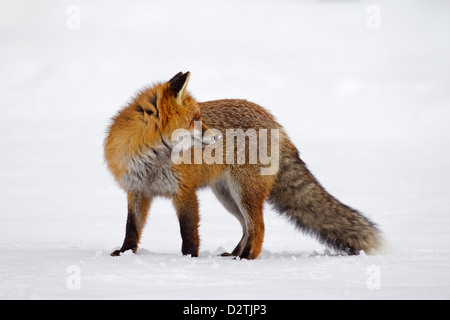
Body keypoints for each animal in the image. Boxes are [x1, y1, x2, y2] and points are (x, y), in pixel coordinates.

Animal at [105, 71, 384, 258]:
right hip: (228, 196)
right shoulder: (136, 191)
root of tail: (276, 123)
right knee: (246, 227)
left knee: (258, 226)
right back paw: (235, 255)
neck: (152, 158)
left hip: (244, 192)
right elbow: (132, 228)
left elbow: (188, 232)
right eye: (195, 119)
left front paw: (189, 260)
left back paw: (247, 258)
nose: (217, 137)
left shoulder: (184, 192)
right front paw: (124, 254)